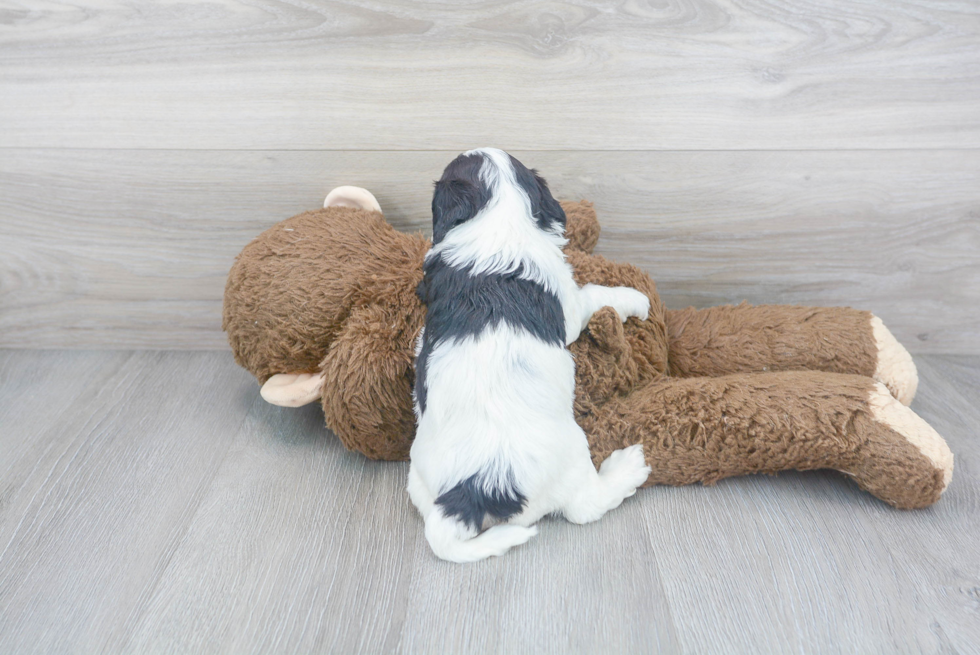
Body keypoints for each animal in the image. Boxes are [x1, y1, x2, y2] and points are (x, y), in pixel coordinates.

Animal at [406, 150, 652, 564]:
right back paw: (628, 467)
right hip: (571, 456)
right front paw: (636, 298)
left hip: (417, 476)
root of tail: (472, 491)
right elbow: (595, 294)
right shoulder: (570, 307)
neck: (496, 219)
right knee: (587, 506)